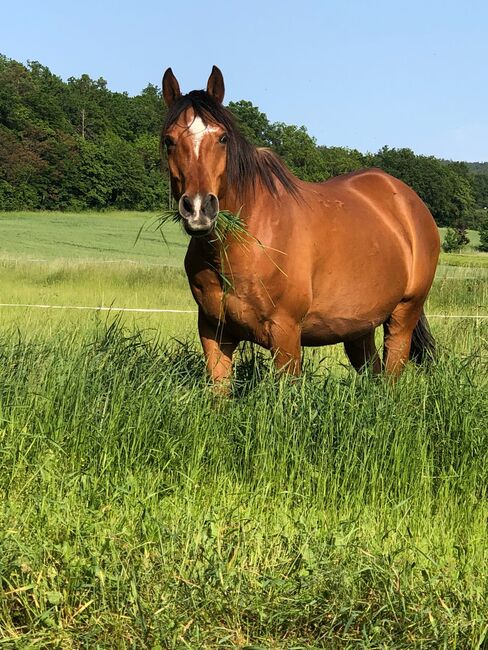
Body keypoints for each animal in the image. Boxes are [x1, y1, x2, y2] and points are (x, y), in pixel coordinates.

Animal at [162, 64, 440, 384]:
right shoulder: (214, 334)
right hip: (359, 327)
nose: (198, 209)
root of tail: (408, 201)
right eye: (169, 140)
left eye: (222, 138)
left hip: (403, 316)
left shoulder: (286, 335)